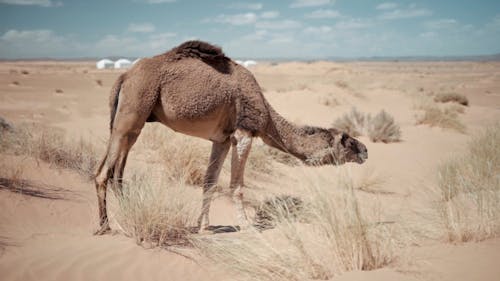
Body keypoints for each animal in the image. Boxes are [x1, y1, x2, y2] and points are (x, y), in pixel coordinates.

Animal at [94, 40, 368, 234]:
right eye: (347, 139)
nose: (365, 150)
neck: (267, 117)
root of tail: (124, 76)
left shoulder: (222, 139)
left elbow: (209, 181)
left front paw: (203, 226)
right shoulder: (244, 133)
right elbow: (236, 185)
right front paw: (246, 225)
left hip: (128, 119)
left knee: (116, 171)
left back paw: (124, 214)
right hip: (134, 108)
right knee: (103, 173)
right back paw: (105, 226)